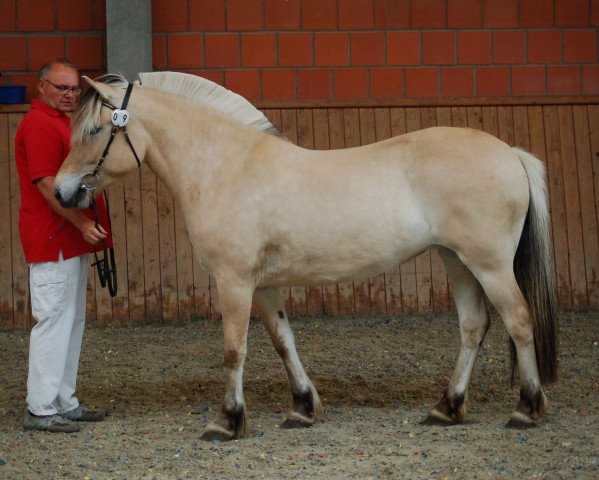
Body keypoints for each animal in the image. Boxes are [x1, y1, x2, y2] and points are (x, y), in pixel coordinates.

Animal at [55, 72, 556, 442]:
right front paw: (301, 408)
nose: (62, 192)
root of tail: (510, 152)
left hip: (489, 265)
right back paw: (446, 408)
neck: (226, 167)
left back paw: (526, 409)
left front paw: (227, 421)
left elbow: (234, 349)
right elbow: (283, 342)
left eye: (95, 130)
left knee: (518, 321)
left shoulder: (234, 281)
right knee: (473, 327)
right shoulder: (263, 286)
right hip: (458, 261)